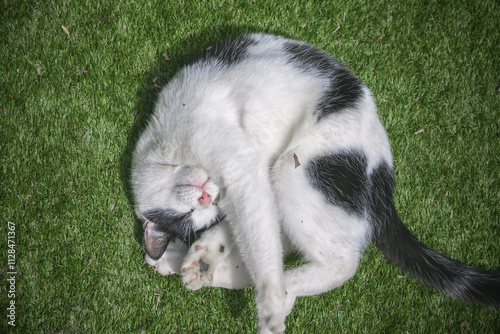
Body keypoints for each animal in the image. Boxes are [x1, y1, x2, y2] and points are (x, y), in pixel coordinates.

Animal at [130, 32, 500, 332]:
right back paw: (196, 262)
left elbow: (259, 238)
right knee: (284, 242)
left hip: (296, 170)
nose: (208, 197)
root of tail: (384, 179)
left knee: (338, 264)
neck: (167, 139)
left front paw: (271, 303)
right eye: (189, 216)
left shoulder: (237, 168)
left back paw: (272, 291)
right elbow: (260, 236)